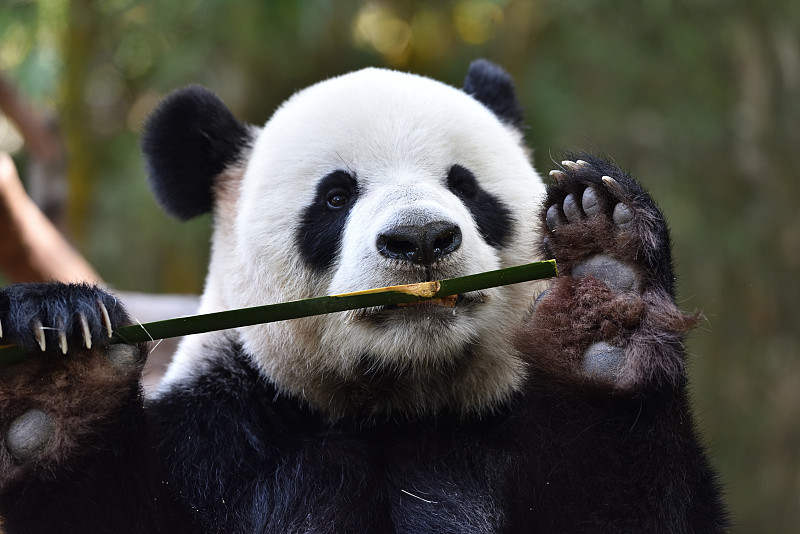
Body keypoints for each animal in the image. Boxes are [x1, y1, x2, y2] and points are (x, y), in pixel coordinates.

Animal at [0, 60, 724, 532]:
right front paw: (57, 383)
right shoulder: (219, 448)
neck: (397, 403)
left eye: (465, 186)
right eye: (335, 196)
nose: (421, 239)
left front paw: (603, 298)